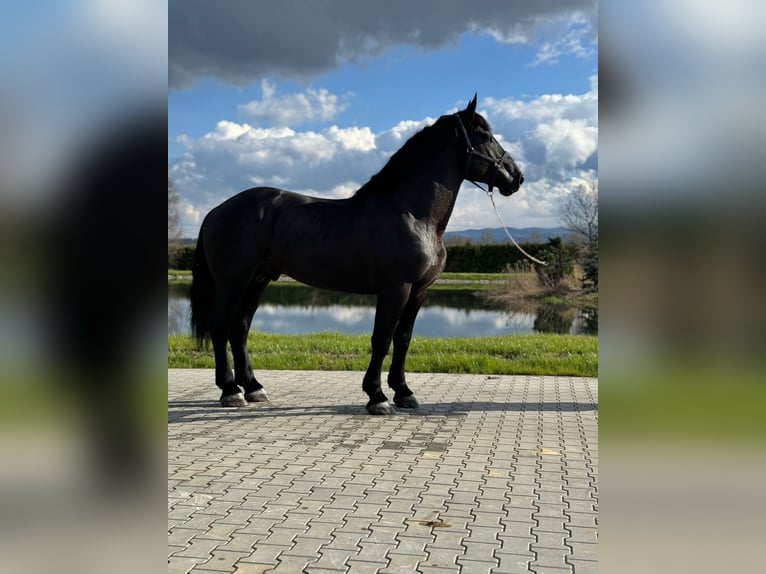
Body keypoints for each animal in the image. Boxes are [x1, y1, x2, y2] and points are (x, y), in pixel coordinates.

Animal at [191, 94, 524, 414]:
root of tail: (217, 210)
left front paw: (404, 392)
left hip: (258, 280)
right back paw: (231, 391)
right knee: (220, 325)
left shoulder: (419, 291)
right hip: (233, 281)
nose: (517, 177)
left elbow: (403, 339)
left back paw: (253, 388)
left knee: (239, 328)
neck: (412, 214)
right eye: (484, 135)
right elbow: (382, 339)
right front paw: (377, 396)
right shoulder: (395, 289)